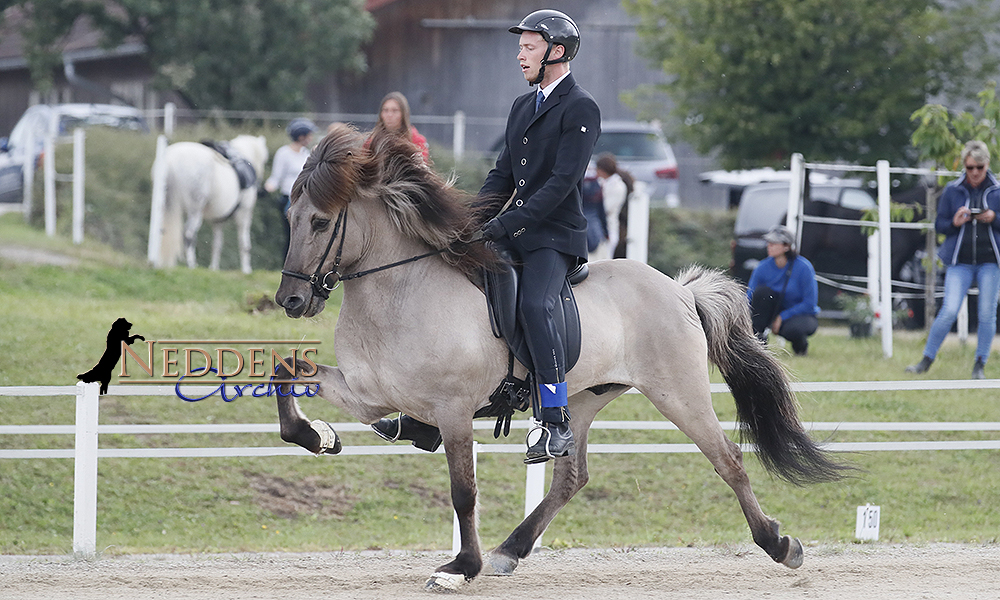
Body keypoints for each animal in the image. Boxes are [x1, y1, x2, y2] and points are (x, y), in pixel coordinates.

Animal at [157, 135, 268, 274]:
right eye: (265, 160)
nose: (261, 188)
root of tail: (172, 160)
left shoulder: (218, 221)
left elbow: (217, 244)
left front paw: (214, 268)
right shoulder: (244, 214)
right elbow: (244, 243)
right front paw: (246, 269)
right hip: (195, 209)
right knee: (189, 234)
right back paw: (191, 264)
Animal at [272, 126, 844, 592]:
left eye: (320, 223)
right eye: (290, 218)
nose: (291, 301)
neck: (399, 289)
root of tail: (679, 291)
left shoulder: (453, 411)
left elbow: (463, 492)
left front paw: (460, 568)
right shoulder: (368, 395)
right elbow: (287, 373)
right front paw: (318, 436)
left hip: (679, 393)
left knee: (727, 458)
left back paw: (779, 544)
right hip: (583, 400)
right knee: (572, 477)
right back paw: (509, 551)